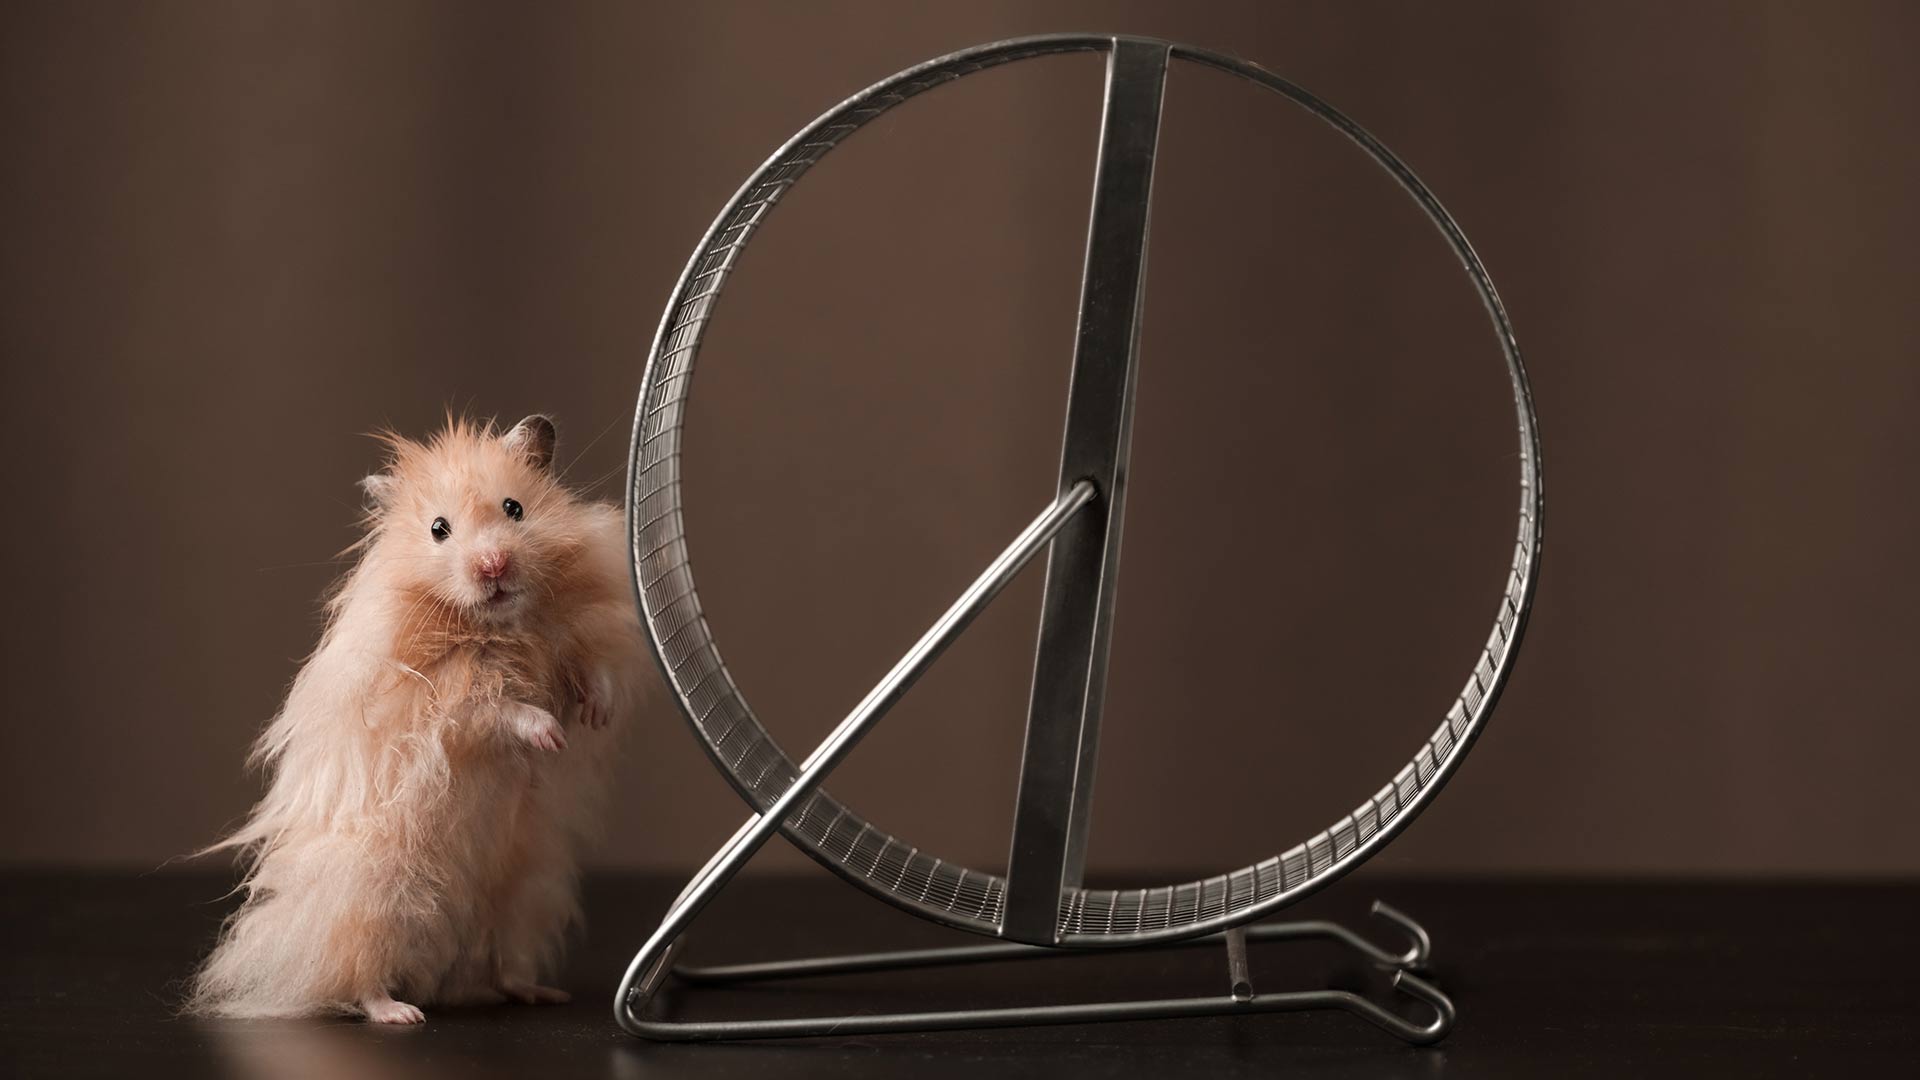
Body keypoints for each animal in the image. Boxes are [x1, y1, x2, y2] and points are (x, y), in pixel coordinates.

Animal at [189, 414, 651, 1024]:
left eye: (514, 508)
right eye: (438, 529)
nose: (494, 566)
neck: (501, 621)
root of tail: (442, 969)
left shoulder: (579, 634)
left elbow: (593, 671)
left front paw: (595, 716)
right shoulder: (448, 704)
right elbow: (500, 710)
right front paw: (550, 735)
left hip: (525, 891)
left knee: (501, 966)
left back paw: (539, 992)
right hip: (375, 895)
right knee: (358, 974)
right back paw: (400, 1012)